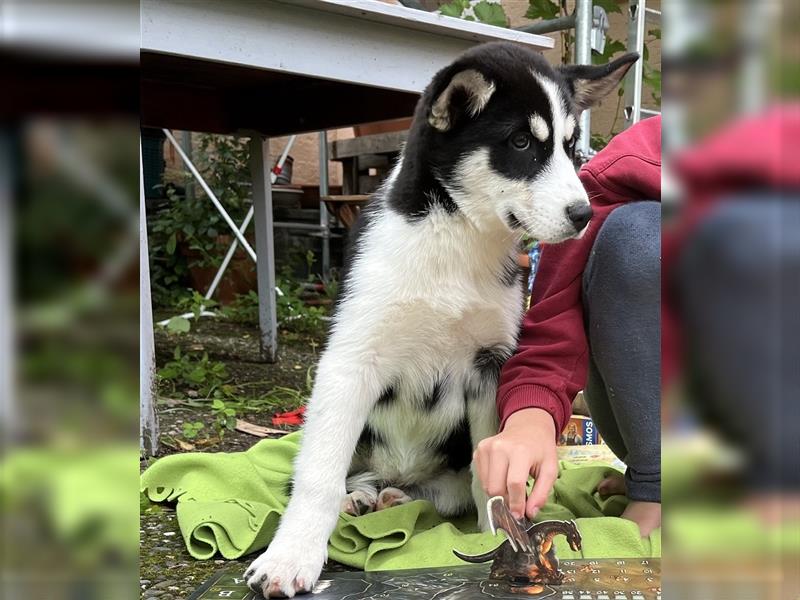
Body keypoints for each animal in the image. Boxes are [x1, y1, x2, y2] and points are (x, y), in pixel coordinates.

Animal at [247, 41, 636, 596]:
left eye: (570, 147)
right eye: (521, 142)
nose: (584, 215)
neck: (456, 239)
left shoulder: (490, 366)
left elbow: (487, 470)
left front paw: (500, 534)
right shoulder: (350, 360)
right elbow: (319, 473)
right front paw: (291, 556)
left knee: (439, 489)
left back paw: (397, 498)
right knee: (334, 470)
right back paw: (360, 496)